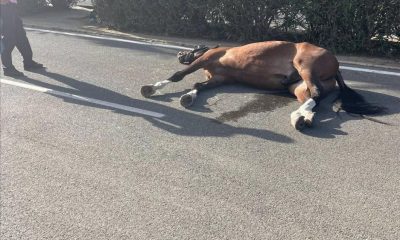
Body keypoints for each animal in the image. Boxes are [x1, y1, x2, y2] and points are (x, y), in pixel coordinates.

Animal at [141, 41, 384, 131]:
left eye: (193, 49)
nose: (180, 54)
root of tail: (336, 64)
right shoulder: (220, 79)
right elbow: (199, 85)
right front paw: (188, 97)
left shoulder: (206, 59)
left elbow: (179, 76)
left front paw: (151, 88)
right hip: (298, 86)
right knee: (314, 98)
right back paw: (303, 118)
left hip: (305, 66)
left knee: (315, 93)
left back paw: (298, 117)